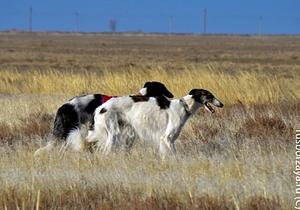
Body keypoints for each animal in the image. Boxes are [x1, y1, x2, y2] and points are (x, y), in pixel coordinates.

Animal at [86, 88, 223, 157]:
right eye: (210, 95)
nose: (221, 104)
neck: (184, 106)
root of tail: (101, 107)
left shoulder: (171, 140)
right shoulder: (166, 138)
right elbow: (174, 156)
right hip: (114, 133)